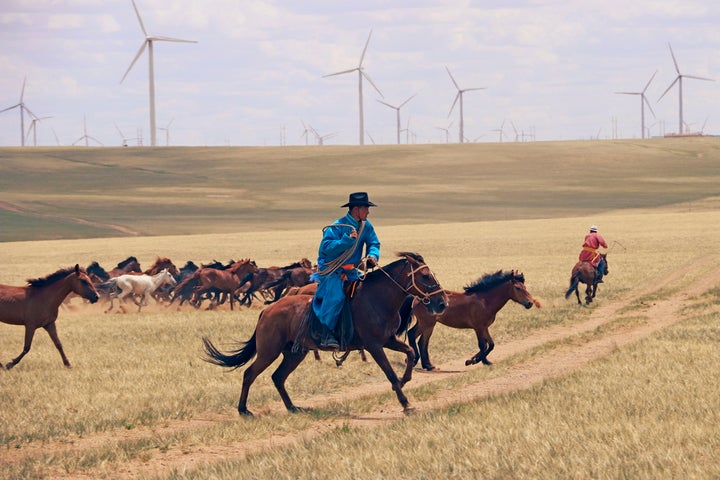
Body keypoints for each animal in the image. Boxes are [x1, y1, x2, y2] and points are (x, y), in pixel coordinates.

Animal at [202, 251, 448, 416]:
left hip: (294, 353)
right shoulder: (374, 345)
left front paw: (405, 381)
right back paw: (244, 409)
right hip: (268, 352)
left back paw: (292, 407)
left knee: (278, 377)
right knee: (249, 374)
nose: (442, 302)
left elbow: (410, 354)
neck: (377, 299)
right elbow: (389, 372)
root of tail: (267, 311)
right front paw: (405, 402)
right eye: (425, 276)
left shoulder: (388, 340)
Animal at [408, 270, 536, 372]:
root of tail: (417, 297)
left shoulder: (485, 327)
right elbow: (482, 345)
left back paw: (427, 365)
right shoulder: (478, 327)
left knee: (420, 340)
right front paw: (476, 361)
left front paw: (478, 360)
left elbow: (491, 345)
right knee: (415, 337)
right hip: (427, 324)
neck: (485, 301)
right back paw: (418, 362)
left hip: (427, 324)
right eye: (518, 288)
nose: (530, 303)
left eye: (525, 287)